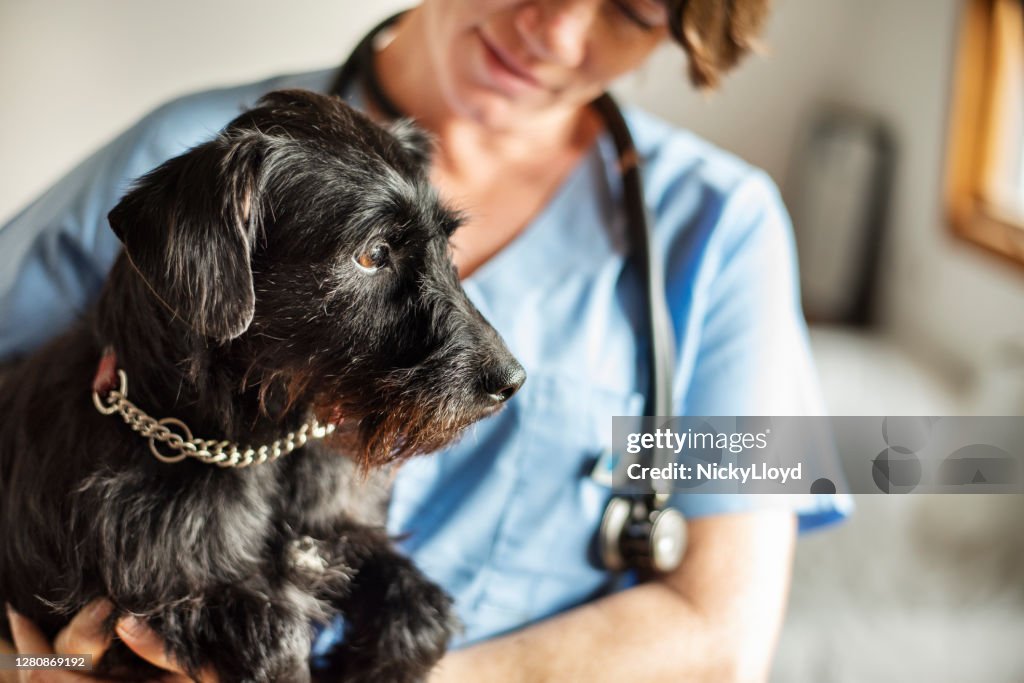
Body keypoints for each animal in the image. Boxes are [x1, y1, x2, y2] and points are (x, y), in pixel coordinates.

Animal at [0, 90, 524, 683]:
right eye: (373, 254)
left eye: (447, 245)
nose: (512, 381)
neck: (261, 447)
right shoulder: (181, 601)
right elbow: (275, 638)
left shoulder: (340, 535)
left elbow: (422, 610)